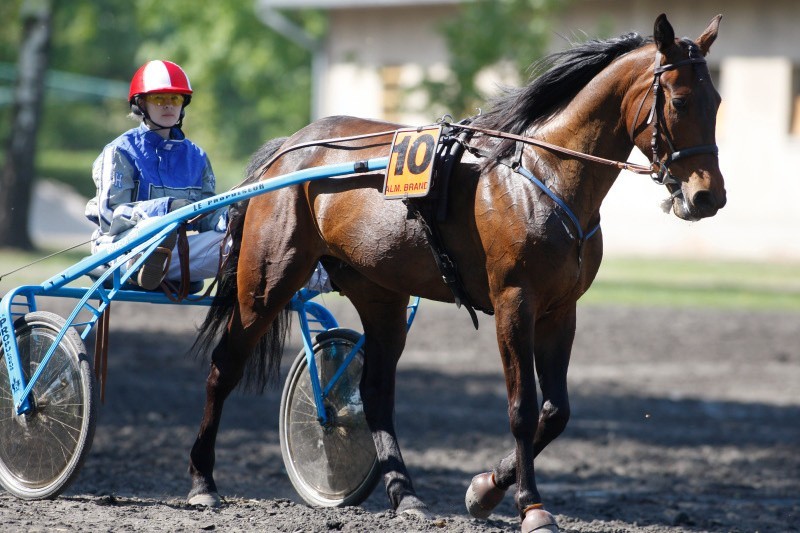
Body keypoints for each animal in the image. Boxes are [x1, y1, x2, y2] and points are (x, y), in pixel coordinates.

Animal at [186, 13, 724, 532]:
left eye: (716, 100)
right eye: (679, 101)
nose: (708, 196)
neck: (543, 175)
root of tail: (290, 149)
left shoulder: (560, 309)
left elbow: (556, 411)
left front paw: (486, 488)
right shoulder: (514, 302)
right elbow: (523, 409)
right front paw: (530, 506)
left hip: (379, 292)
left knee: (375, 391)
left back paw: (406, 495)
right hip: (267, 281)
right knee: (223, 367)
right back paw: (203, 482)